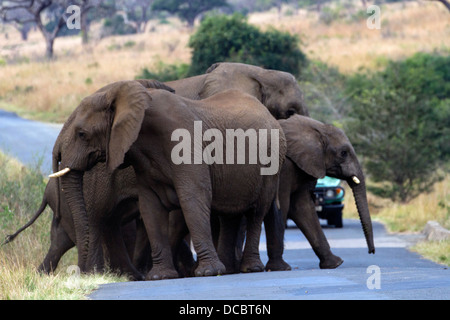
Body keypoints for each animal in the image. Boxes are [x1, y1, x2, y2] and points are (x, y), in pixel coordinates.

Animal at [49, 80, 286, 280]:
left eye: (81, 134)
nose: (82, 273)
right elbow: (150, 208)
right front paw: (160, 277)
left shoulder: (185, 145)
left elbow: (193, 199)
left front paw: (208, 273)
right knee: (230, 215)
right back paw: (228, 270)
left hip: (272, 164)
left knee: (257, 211)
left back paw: (249, 269)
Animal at [264, 114, 376, 270]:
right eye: (343, 153)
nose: (371, 252)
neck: (316, 128)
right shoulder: (284, 167)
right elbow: (281, 207)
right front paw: (280, 268)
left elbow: (302, 208)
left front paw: (335, 264)